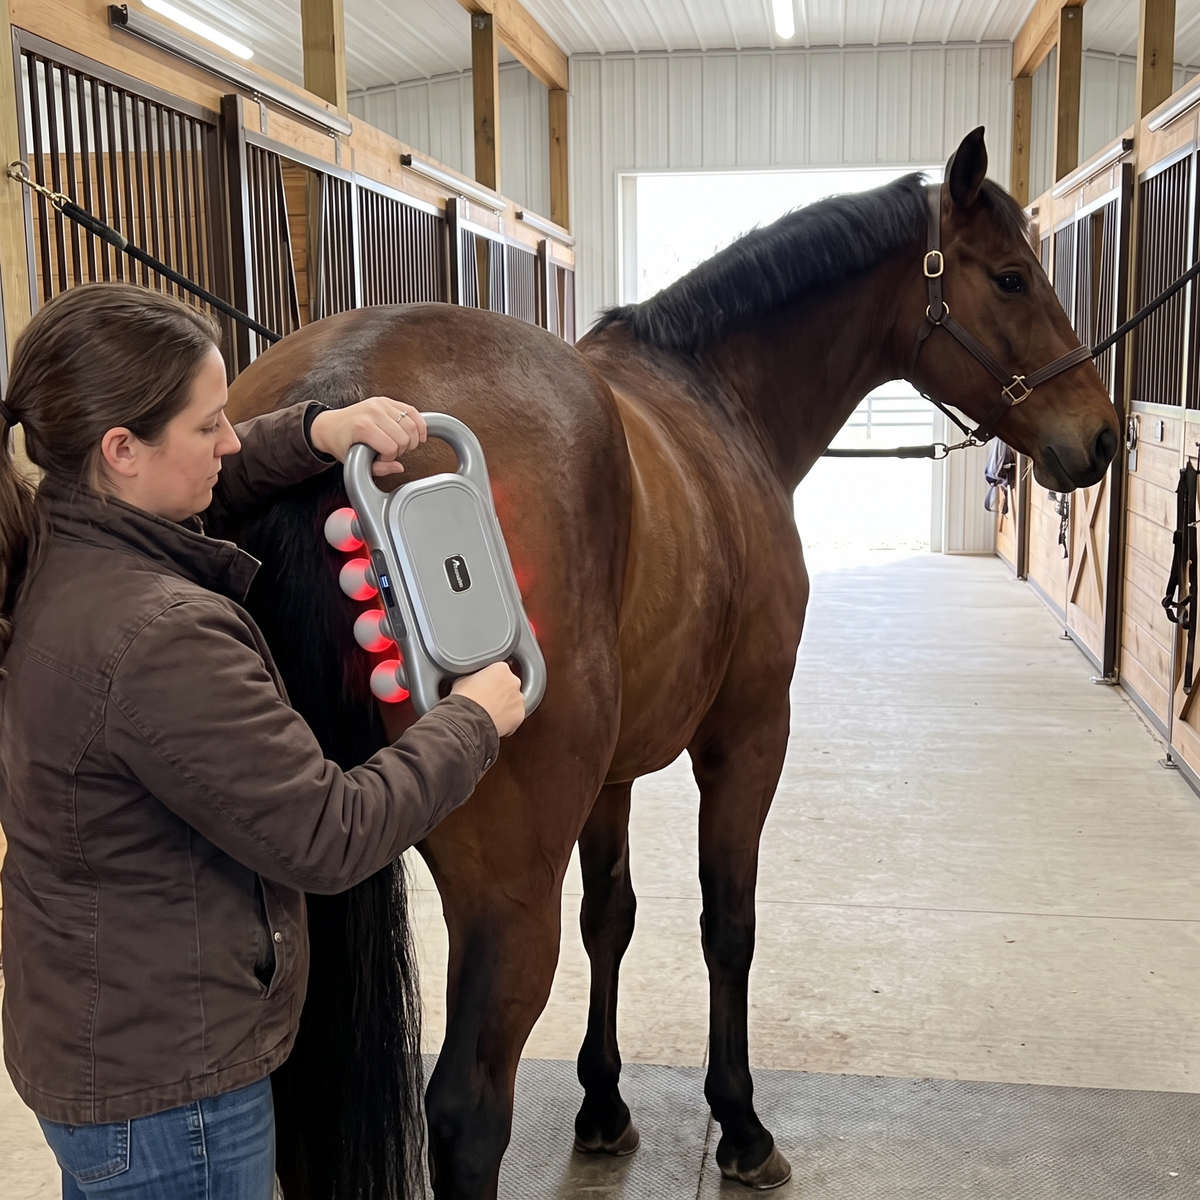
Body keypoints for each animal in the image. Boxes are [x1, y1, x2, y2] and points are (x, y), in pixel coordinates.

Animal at [225, 127, 1119, 1199]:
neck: (718, 397)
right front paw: (740, 1124)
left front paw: (604, 1105)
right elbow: (727, 924)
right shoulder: (747, 736)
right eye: (1014, 278)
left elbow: (610, 916)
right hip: (504, 884)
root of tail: (345, 399)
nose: (1103, 436)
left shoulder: (611, 775)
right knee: (468, 1111)